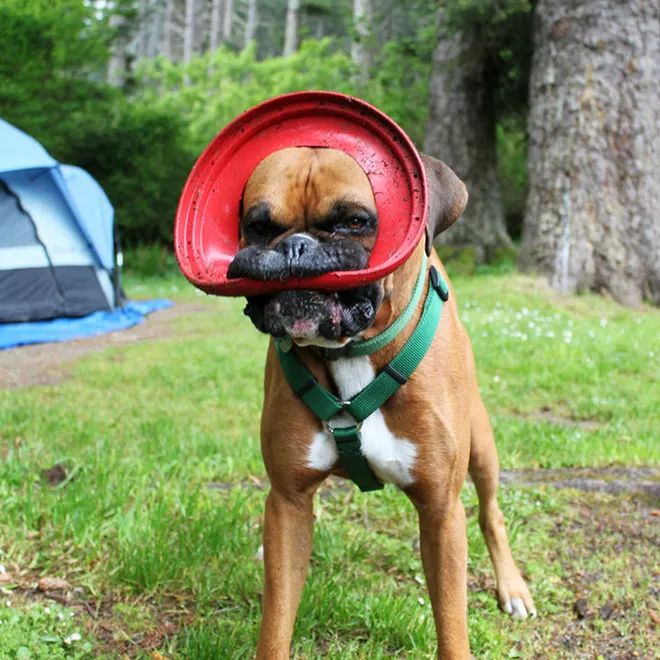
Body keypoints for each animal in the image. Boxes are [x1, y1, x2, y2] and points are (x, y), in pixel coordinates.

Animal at [229, 147, 532, 656]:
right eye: (259, 226)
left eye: (354, 221)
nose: (296, 247)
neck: (350, 353)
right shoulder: (289, 500)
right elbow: (275, 620)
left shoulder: (441, 513)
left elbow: (452, 623)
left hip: (482, 447)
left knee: (491, 513)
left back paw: (512, 587)